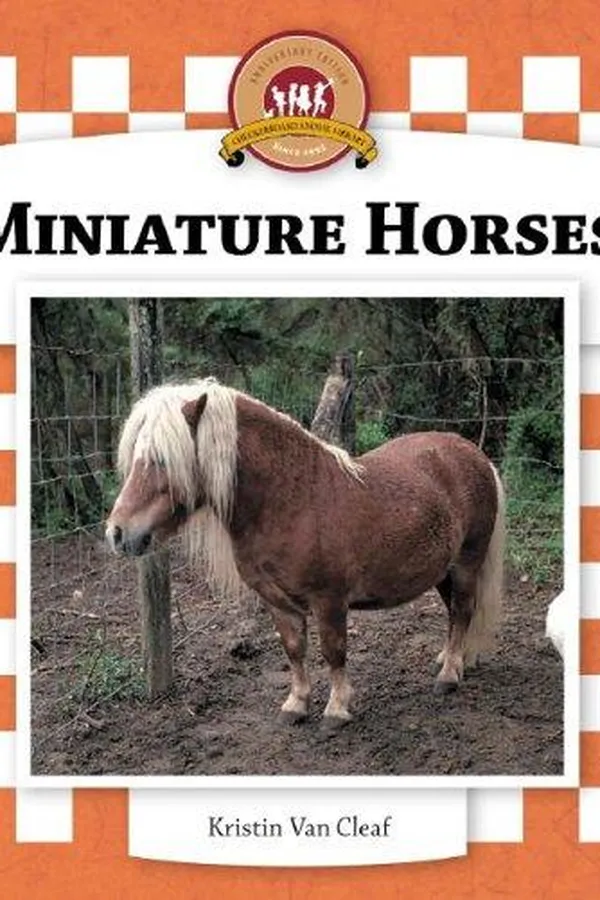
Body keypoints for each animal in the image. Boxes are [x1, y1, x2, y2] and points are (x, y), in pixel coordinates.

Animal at [106, 377, 505, 725]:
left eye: (160, 460)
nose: (118, 532)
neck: (292, 501)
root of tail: (473, 454)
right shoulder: (277, 602)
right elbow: (294, 649)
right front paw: (296, 705)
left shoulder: (329, 600)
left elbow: (333, 650)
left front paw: (337, 710)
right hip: (442, 571)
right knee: (453, 612)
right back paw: (452, 659)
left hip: (467, 562)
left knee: (462, 610)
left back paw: (449, 674)